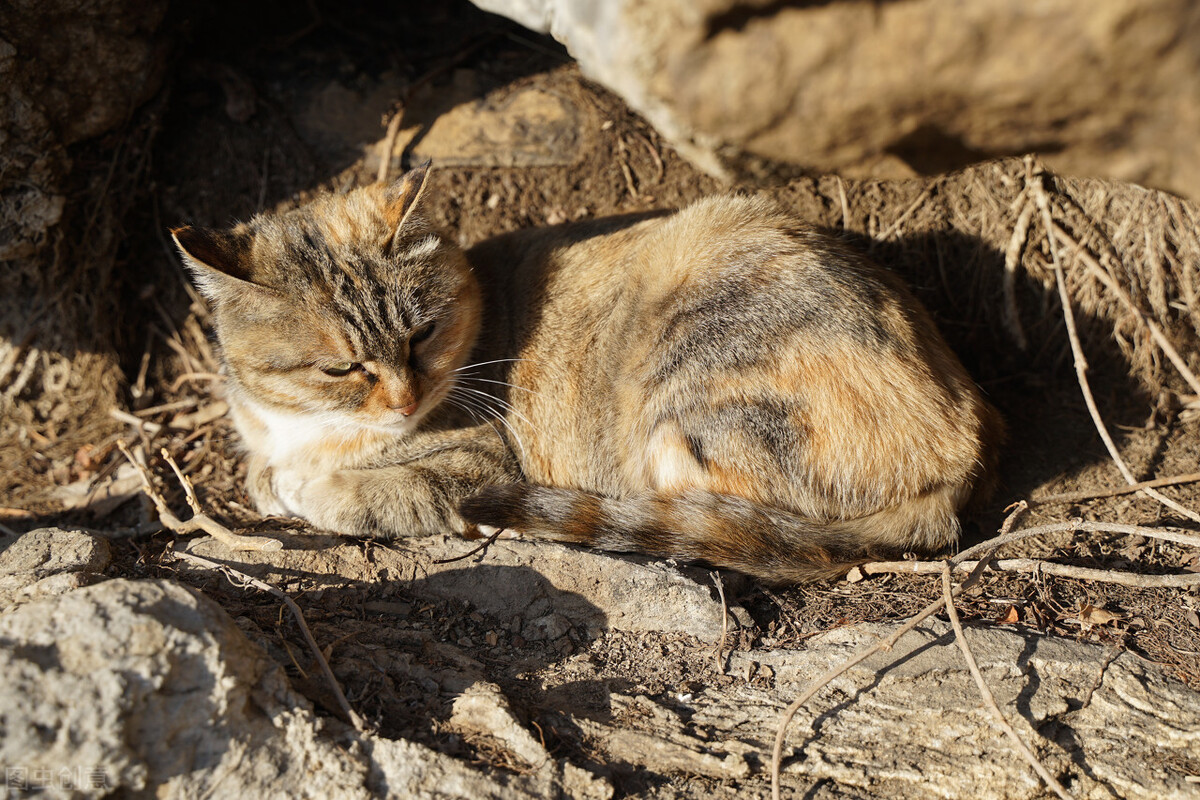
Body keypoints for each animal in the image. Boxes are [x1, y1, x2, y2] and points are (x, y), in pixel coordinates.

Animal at [174, 165, 1003, 585]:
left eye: (423, 333)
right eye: (341, 366)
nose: (406, 398)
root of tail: (965, 446)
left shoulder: (480, 461)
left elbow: (369, 491)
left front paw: (308, 487)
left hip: (683, 399)